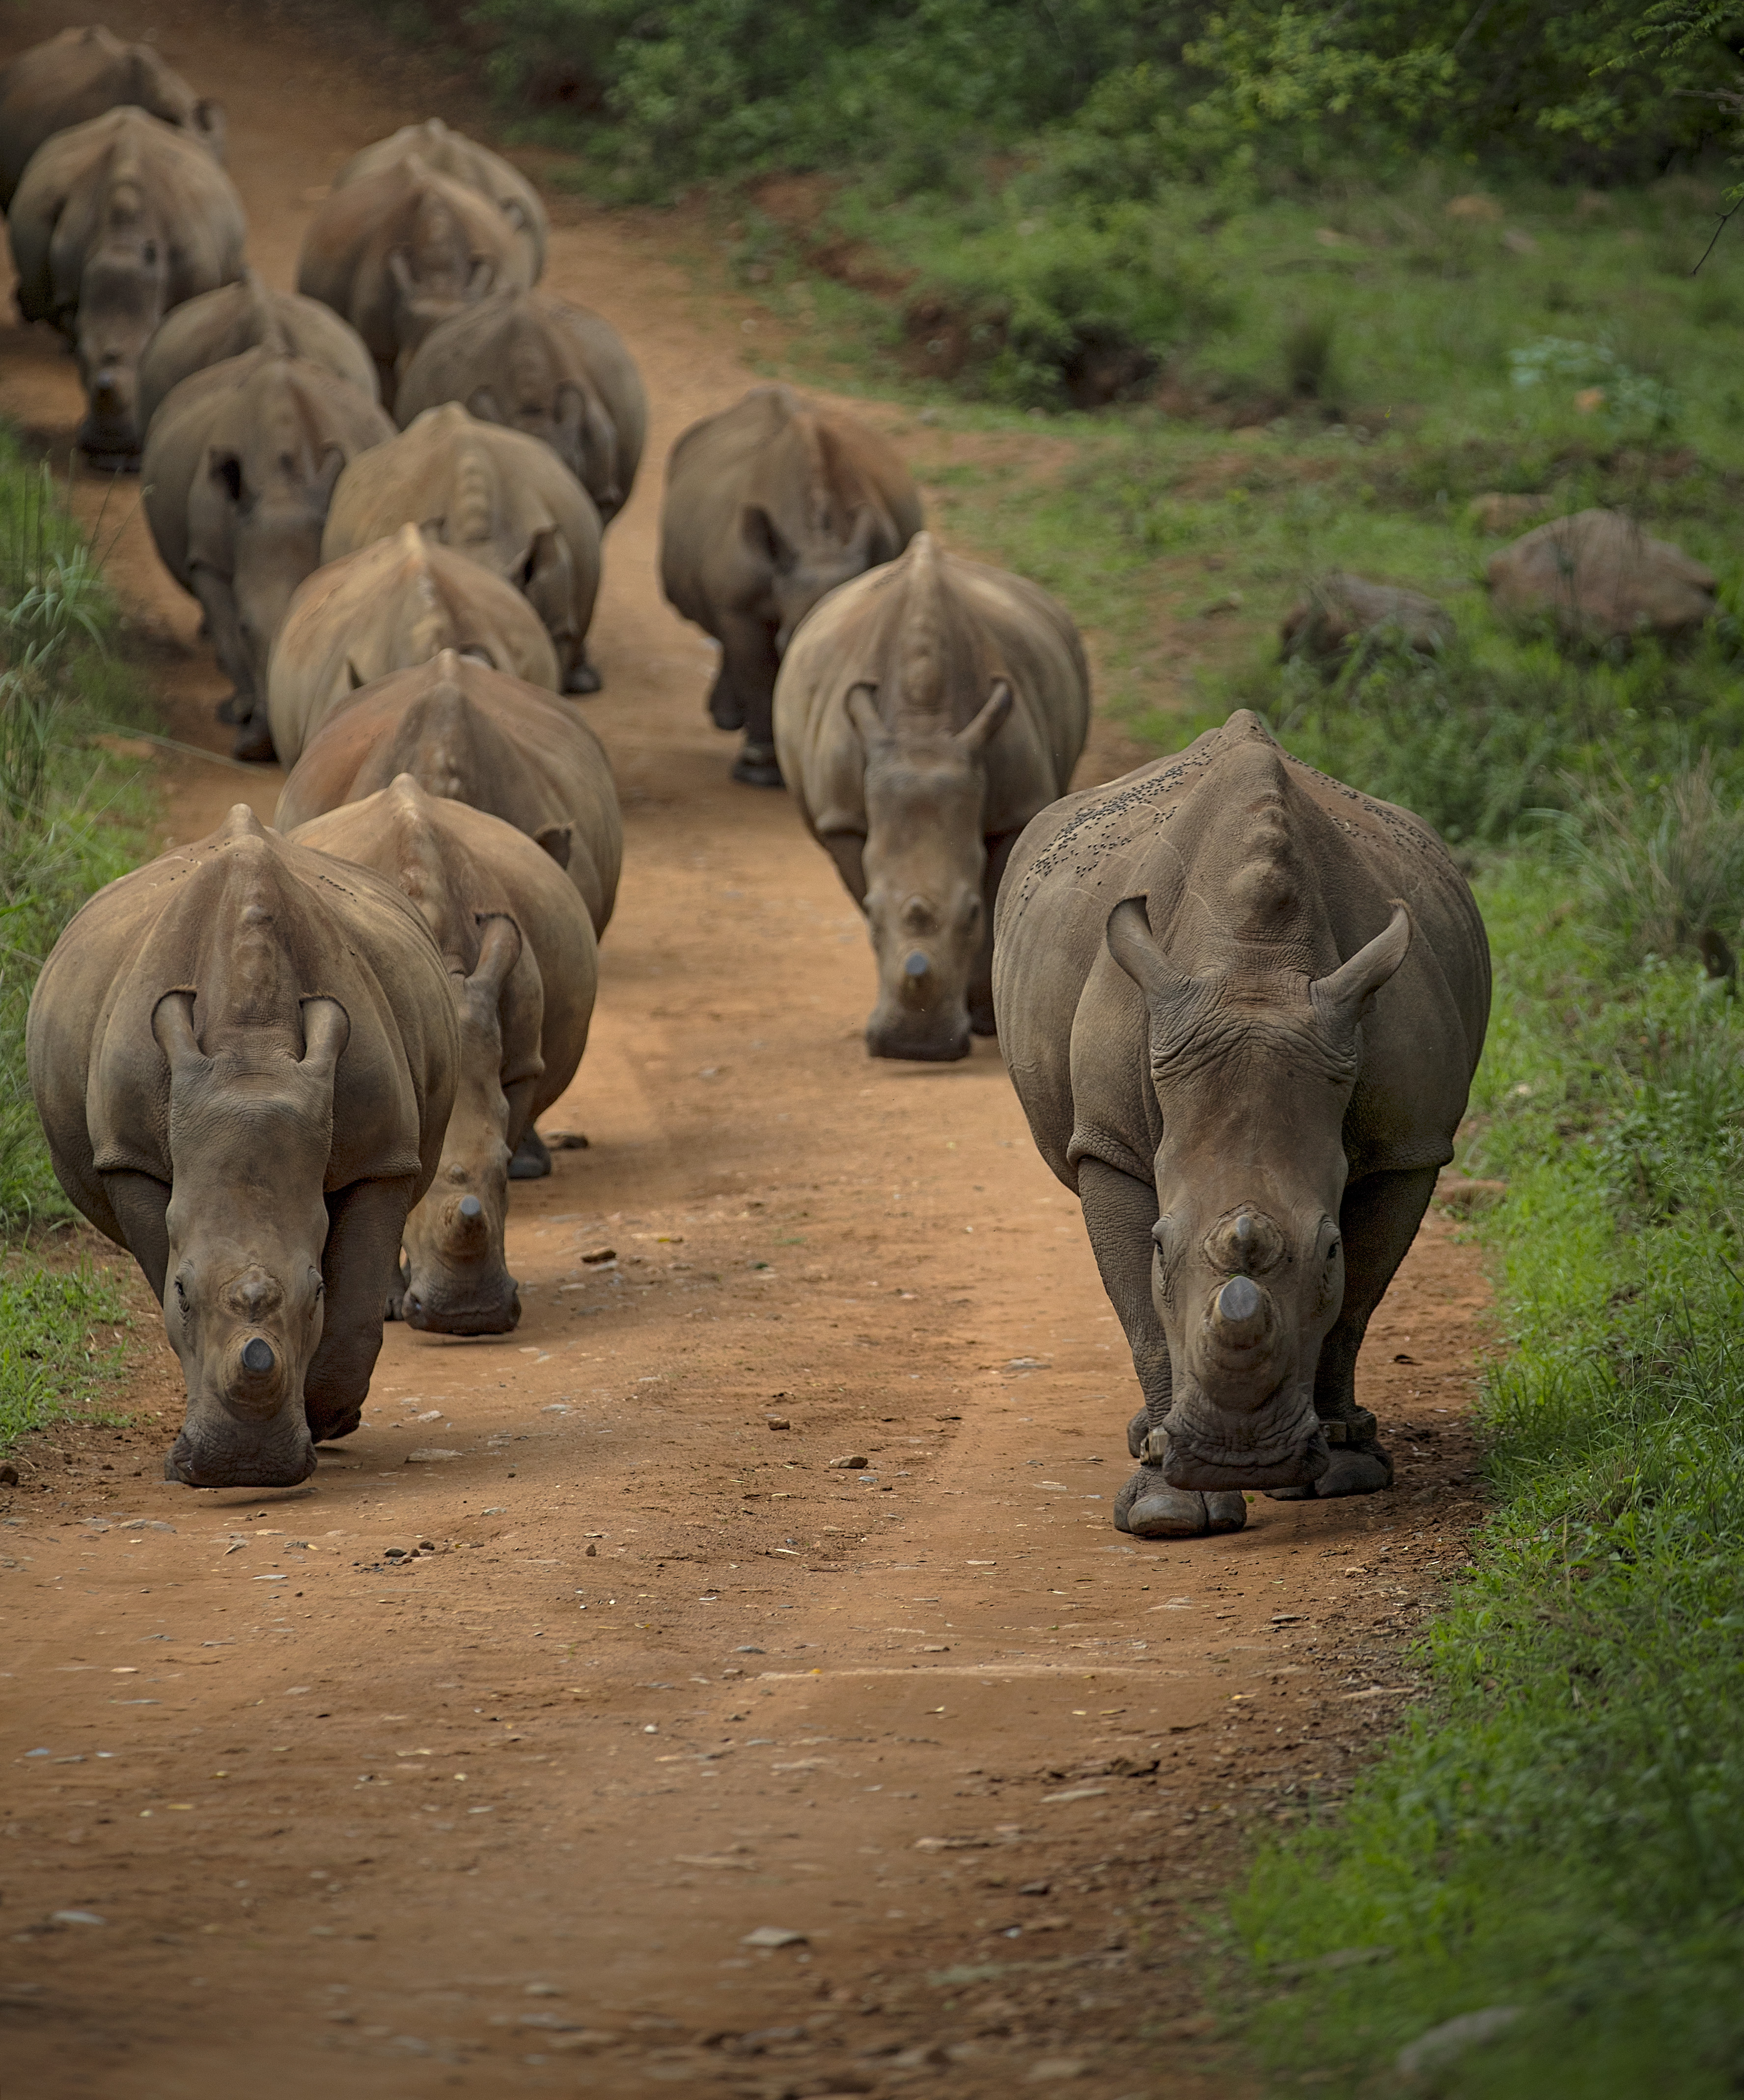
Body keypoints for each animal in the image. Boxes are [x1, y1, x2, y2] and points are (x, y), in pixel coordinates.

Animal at [26, 805, 459, 1489]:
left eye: (315, 1291)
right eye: (183, 1290)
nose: (246, 1468)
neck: (249, 1055)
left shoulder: (383, 1154)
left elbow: (356, 1308)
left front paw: (325, 1418)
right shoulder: (129, 1155)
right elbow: (167, 1275)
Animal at [142, 350, 394, 760]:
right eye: (247, 628)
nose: (264, 744)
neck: (283, 488)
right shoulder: (208, 560)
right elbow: (229, 634)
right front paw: (240, 716)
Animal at [775, 533, 1089, 1061]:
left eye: (971, 913)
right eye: (873, 911)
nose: (914, 1048)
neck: (923, 733)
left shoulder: (1015, 808)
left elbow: (996, 893)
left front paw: (985, 1021)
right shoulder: (842, 818)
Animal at [993, 711, 1490, 1540]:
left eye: (1327, 1248)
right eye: (1161, 1247)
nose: (1241, 1458)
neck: (1255, 965)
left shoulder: (1408, 1145)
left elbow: (1356, 1299)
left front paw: (1342, 1470)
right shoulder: (1109, 1143)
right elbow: (1140, 1312)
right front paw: (1166, 1509)